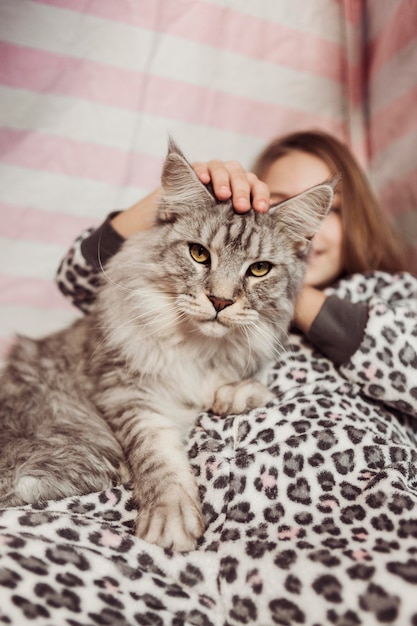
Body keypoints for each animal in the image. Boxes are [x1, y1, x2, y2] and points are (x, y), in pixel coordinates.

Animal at [0, 140, 334, 544]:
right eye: (199, 253)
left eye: (259, 269)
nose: (220, 301)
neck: (198, 346)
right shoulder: (127, 394)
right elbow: (159, 458)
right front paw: (170, 519)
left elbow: (233, 389)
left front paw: (239, 395)